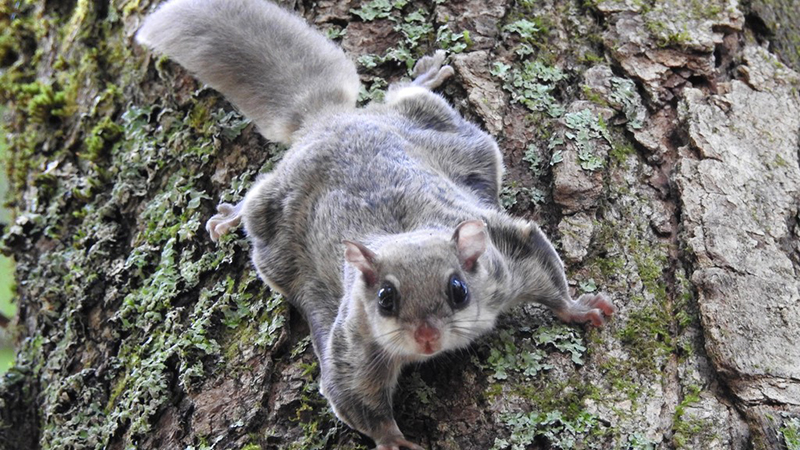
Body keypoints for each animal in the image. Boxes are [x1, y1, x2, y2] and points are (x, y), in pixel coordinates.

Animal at [138, 1, 616, 448]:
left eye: (458, 290)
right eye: (386, 299)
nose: (426, 337)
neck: (405, 234)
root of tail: (326, 119)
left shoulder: (507, 257)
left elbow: (544, 271)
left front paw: (578, 309)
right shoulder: (355, 343)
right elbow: (353, 396)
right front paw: (393, 440)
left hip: (444, 130)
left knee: (403, 97)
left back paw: (423, 77)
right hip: (272, 211)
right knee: (258, 197)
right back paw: (232, 214)